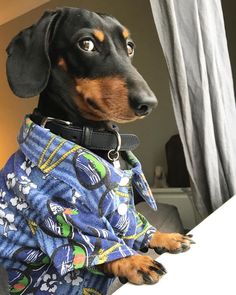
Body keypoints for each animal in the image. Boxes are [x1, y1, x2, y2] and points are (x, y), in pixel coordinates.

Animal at [0, 6, 194, 295]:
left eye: (129, 46)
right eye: (87, 44)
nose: (149, 103)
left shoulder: (122, 205)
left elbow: (134, 223)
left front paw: (163, 237)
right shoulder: (56, 212)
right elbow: (97, 243)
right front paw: (134, 262)